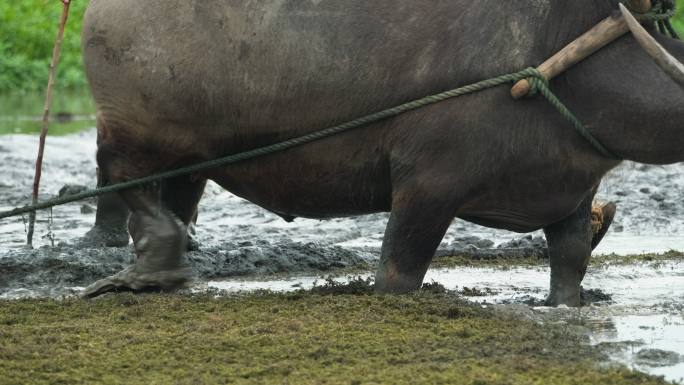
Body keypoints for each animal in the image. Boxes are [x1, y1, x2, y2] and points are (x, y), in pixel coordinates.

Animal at [83, 0, 684, 306]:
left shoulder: (570, 191)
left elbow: (570, 263)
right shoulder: (428, 186)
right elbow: (398, 274)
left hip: (189, 152)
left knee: (174, 200)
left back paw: (156, 271)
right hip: (131, 131)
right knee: (121, 178)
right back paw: (143, 271)